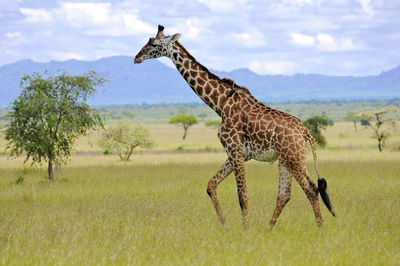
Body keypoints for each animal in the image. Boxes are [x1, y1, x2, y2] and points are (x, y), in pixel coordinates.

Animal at [134, 25, 334, 229]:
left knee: (311, 189)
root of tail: (306, 132)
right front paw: (225, 225)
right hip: (285, 159)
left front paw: (245, 230)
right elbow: (211, 185)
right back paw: (268, 230)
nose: (137, 57)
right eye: (148, 40)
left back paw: (320, 228)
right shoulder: (236, 153)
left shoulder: (235, 150)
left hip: (293, 158)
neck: (220, 104)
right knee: (285, 195)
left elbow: (242, 196)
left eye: (154, 44)